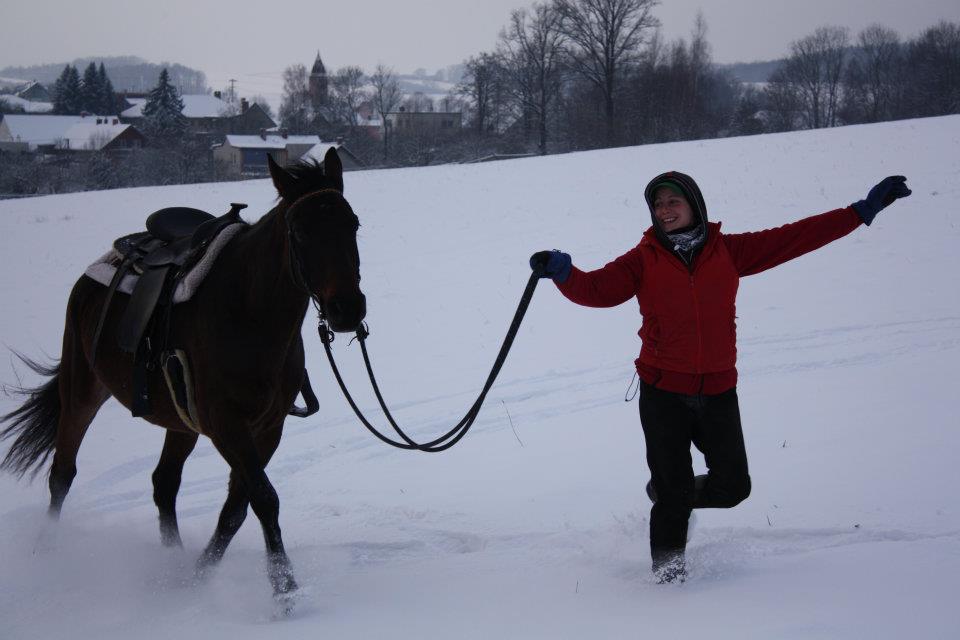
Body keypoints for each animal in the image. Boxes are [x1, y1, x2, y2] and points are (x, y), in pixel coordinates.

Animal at [0, 148, 365, 603]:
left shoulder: (267, 428)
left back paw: (170, 563)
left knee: (164, 484)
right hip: (82, 388)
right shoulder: (226, 425)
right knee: (62, 475)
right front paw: (284, 589)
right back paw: (47, 553)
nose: (347, 309)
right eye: (298, 231)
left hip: (179, 420)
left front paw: (197, 576)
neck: (250, 313)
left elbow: (237, 508)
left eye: (352, 224)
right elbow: (264, 499)